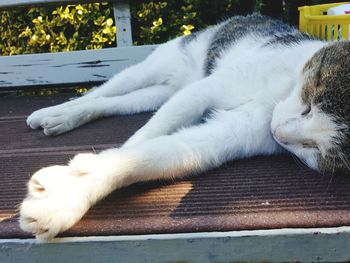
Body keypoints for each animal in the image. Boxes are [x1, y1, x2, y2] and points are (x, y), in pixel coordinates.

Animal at [18, 14, 350, 241]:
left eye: (315, 149)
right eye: (308, 103)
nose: (277, 132)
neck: (285, 86)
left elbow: (167, 151)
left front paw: (74, 193)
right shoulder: (207, 89)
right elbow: (139, 142)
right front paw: (73, 186)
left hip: (158, 93)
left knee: (114, 102)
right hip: (156, 66)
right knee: (102, 90)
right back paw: (57, 113)